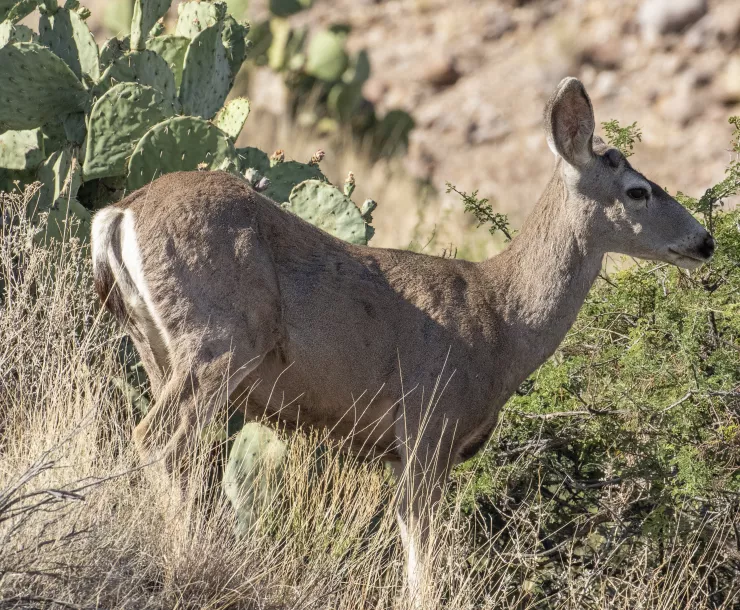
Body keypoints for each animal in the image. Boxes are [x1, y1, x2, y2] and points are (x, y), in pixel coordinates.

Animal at [91, 77, 715, 601]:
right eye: (637, 191)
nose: (705, 241)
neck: (501, 322)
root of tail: (118, 214)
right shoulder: (429, 423)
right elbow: (421, 543)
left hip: (155, 346)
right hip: (218, 341)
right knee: (156, 437)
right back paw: (184, 558)